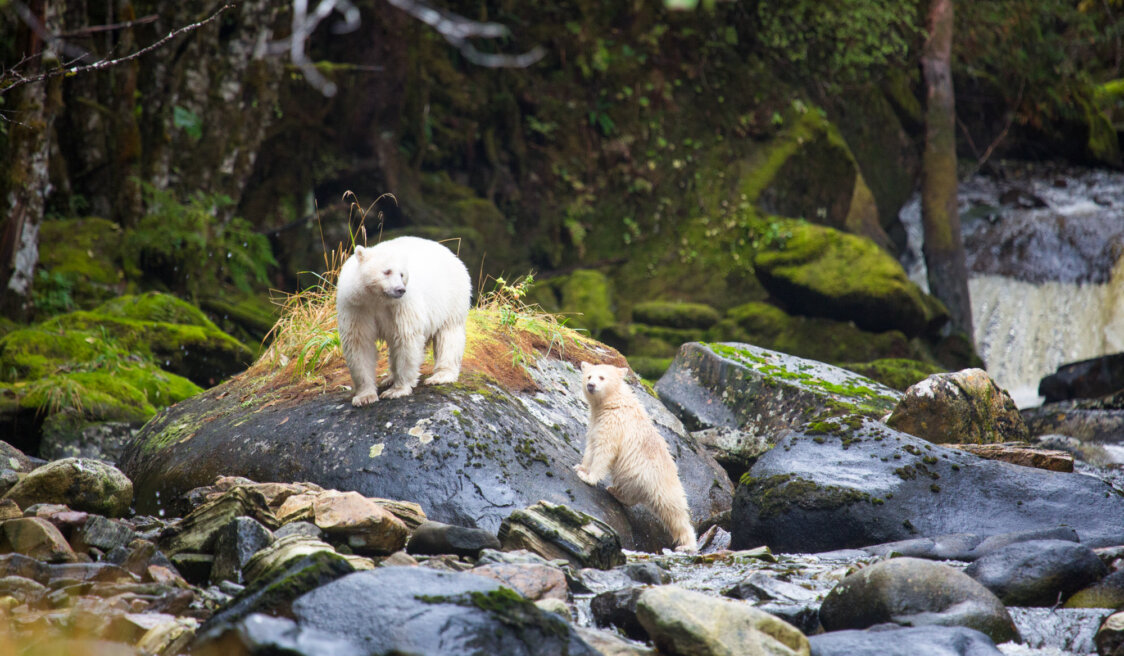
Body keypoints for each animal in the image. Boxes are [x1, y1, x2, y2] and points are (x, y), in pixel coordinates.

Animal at [336, 236, 472, 406]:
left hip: (451, 297)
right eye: (387, 271)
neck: (376, 298)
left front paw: (396, 390)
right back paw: (388, 378)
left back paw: (441, 376)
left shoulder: (401, 306)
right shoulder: (356, 307)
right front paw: (364, 397)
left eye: (402, 274)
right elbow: (359, 343)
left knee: (448, 335)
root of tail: (451, 254)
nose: (400, 289)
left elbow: (406, 338)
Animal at [574, 361, 698, 552]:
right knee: (632, 492)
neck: (614, 402)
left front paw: (588, 477)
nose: (591, 385)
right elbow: (591, 445)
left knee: (674, 511)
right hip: (635, 477)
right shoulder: (597, 421)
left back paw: (686, 545)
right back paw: (615, 491)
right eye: (589, 376)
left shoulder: (614, 423)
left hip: (661, 481)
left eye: (602, 377)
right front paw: (580, 467)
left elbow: (605, 450)